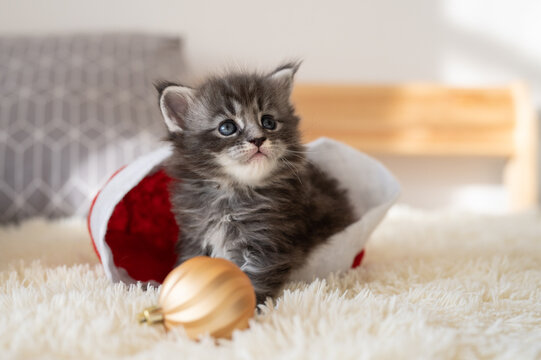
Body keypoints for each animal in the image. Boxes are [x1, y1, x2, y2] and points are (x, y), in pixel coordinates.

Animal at [155, 62, 354, 304]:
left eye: (268, 122)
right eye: (227, 127)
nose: (258, 139)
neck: (232, 192)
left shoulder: (267, 242)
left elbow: (253, 279)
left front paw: (251, 306)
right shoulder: (194, 234)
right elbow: (189, 263)